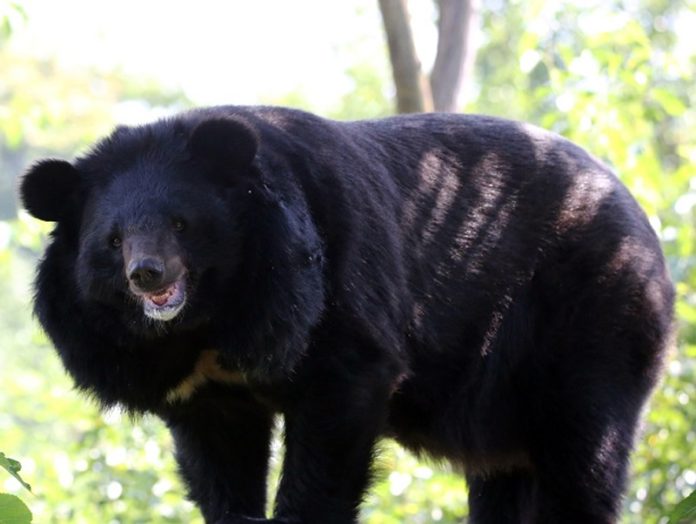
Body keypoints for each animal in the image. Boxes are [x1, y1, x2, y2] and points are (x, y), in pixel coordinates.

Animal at [20, 106, 674, 524]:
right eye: (113, 240)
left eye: (181, 224)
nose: (148, 275)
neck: (210, 321)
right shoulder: (200, 386)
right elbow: (219, 453)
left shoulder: (334, 288)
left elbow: (339, 401)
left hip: (592, 314)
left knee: (583, 455)